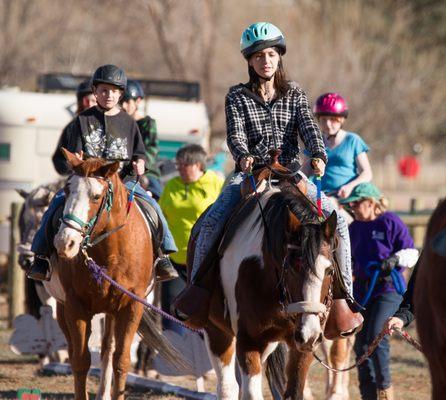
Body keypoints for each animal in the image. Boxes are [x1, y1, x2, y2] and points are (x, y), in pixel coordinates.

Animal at [42, 148, 162, 398]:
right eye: (67, 190)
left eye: (96, 197)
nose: (65, 243)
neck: (111, 253)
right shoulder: (75, 307)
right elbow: (80, 361)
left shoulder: (132, 306)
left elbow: (121, 360)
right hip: (63, 308)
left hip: (112, 311)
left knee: (108, 348)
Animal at [192, 168, 338, 396]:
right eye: (291, 267)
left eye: (330, 270)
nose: (309, 334)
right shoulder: (249, 341)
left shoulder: (302, 347)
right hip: (216, 331)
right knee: (227, 386)